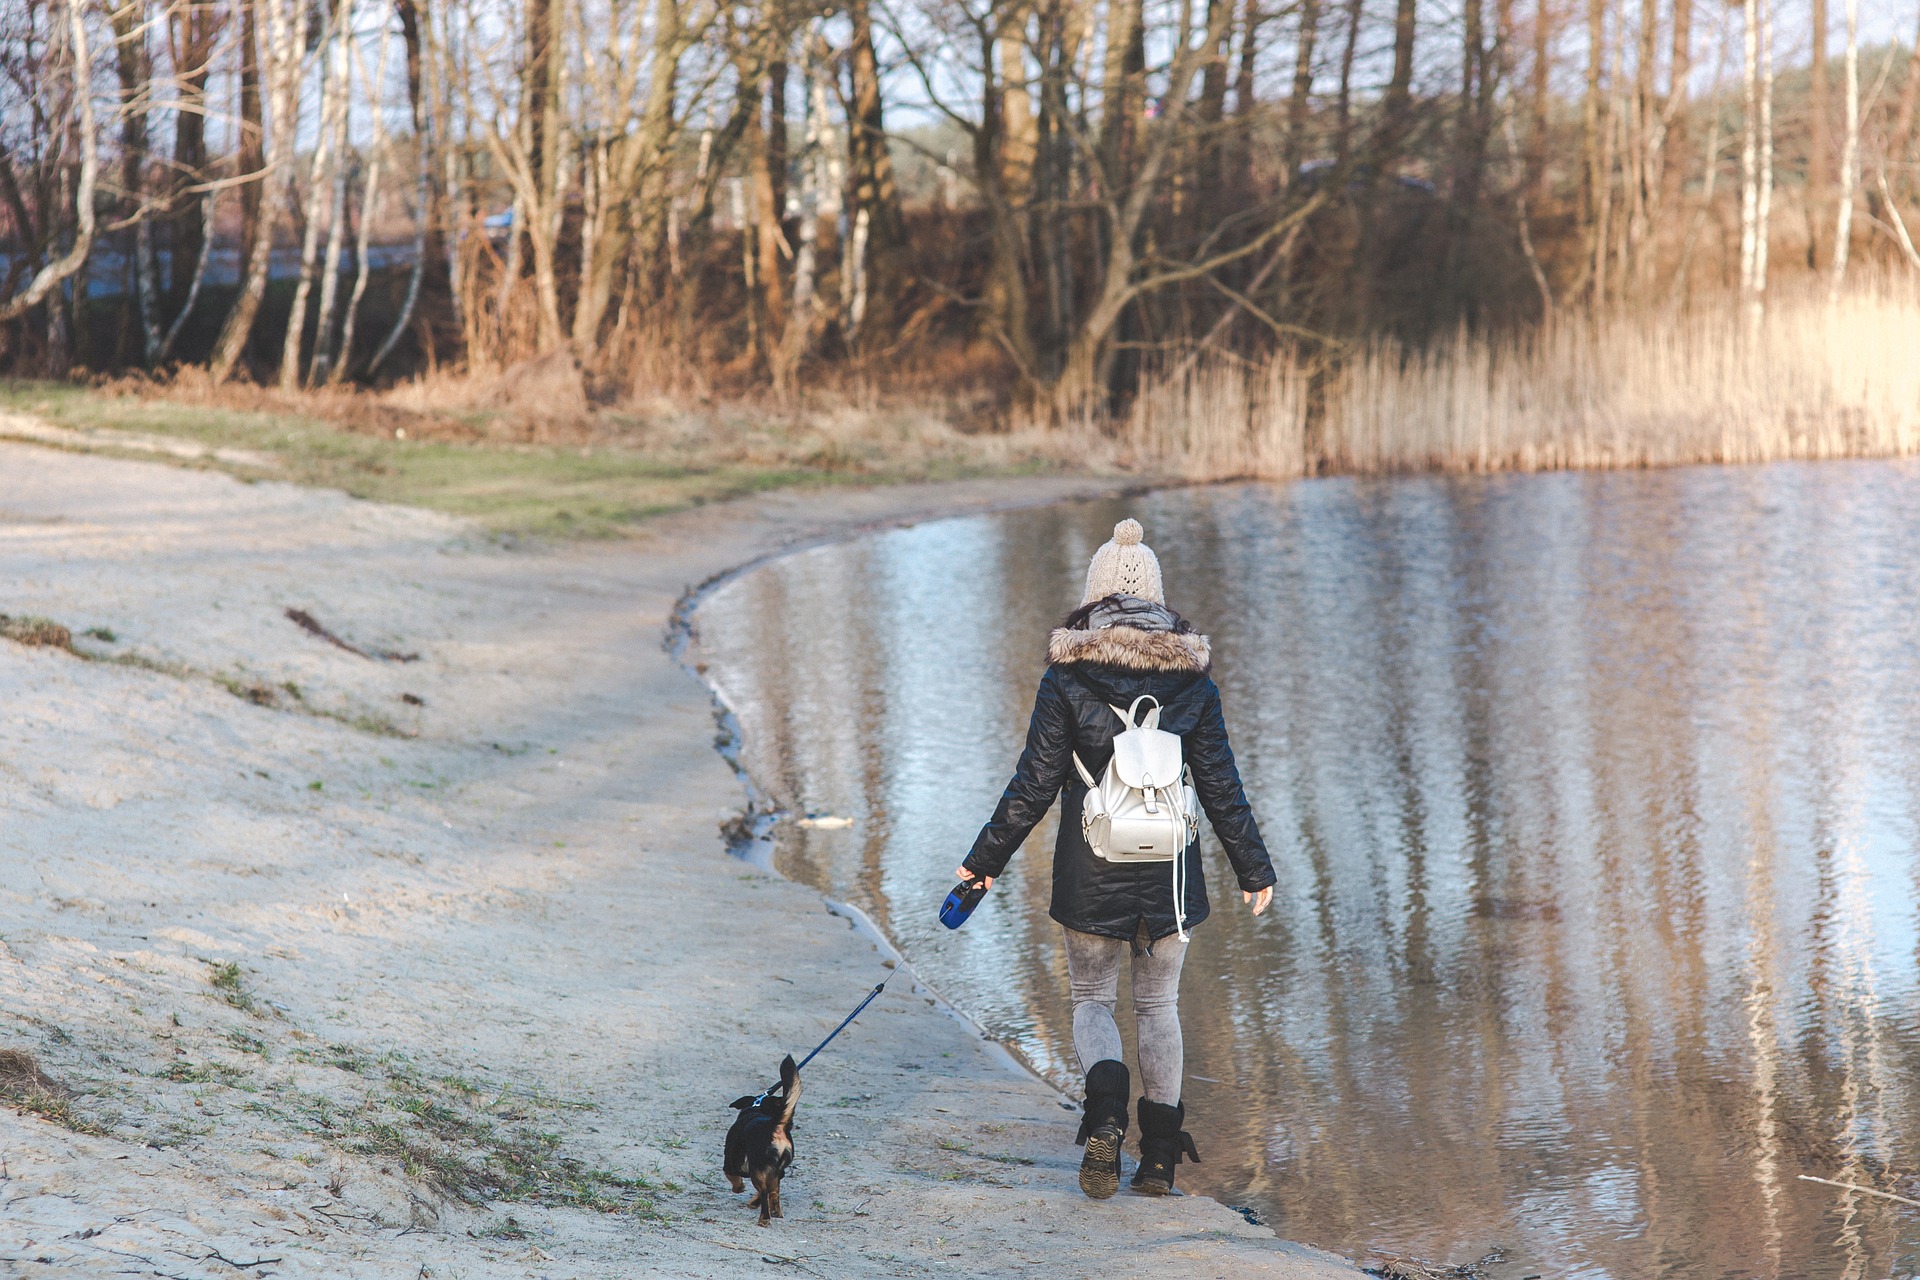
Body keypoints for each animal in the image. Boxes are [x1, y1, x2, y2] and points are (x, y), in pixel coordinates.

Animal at [725, 1059, 802, 1228]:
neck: (757, 1106)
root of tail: (776, 1125)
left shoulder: (730, 1163)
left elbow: (733, 1178)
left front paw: (739, 1188)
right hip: (777, 1169)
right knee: (773, 1191)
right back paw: (774, 1211)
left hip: (756, 1170)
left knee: (765, 1191)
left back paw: (764, 1218)